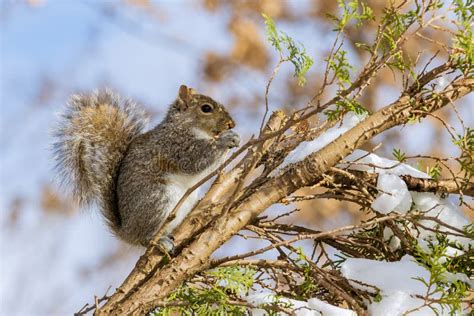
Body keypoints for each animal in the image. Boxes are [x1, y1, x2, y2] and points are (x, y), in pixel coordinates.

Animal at [54, 85, 241, 251]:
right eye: (206, 108)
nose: (231, 124)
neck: (184, 126)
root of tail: (127, 232)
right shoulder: (174, 146)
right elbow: (195, 161)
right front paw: (226, 139)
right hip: (158, 199)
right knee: (145, 238)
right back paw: (158, 241)